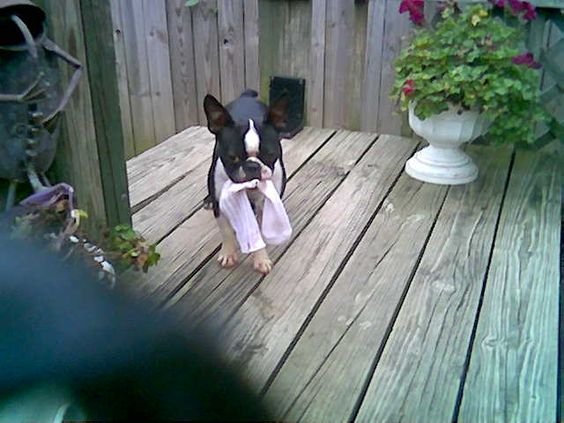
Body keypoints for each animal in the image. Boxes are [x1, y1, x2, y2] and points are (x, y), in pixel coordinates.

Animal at [203, 90, 288, 274]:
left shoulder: (265, 206)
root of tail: (246, 96)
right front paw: (228, 254)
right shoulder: (220, 205)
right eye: (232, 157)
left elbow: (260, 234)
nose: (252, 166)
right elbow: (226, 231)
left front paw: (261, 259)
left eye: (270, 154)